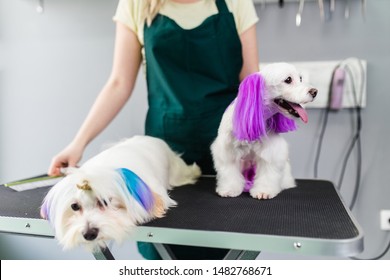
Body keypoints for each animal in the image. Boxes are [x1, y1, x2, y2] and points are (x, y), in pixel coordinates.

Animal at [210, 62, 316, 200]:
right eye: (288, 80)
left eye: (301, 79)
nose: (315, 92)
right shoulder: (228, 151)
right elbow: (229, 171)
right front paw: (229, 189)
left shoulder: (271, 152)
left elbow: (267, 173)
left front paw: (264, 191)